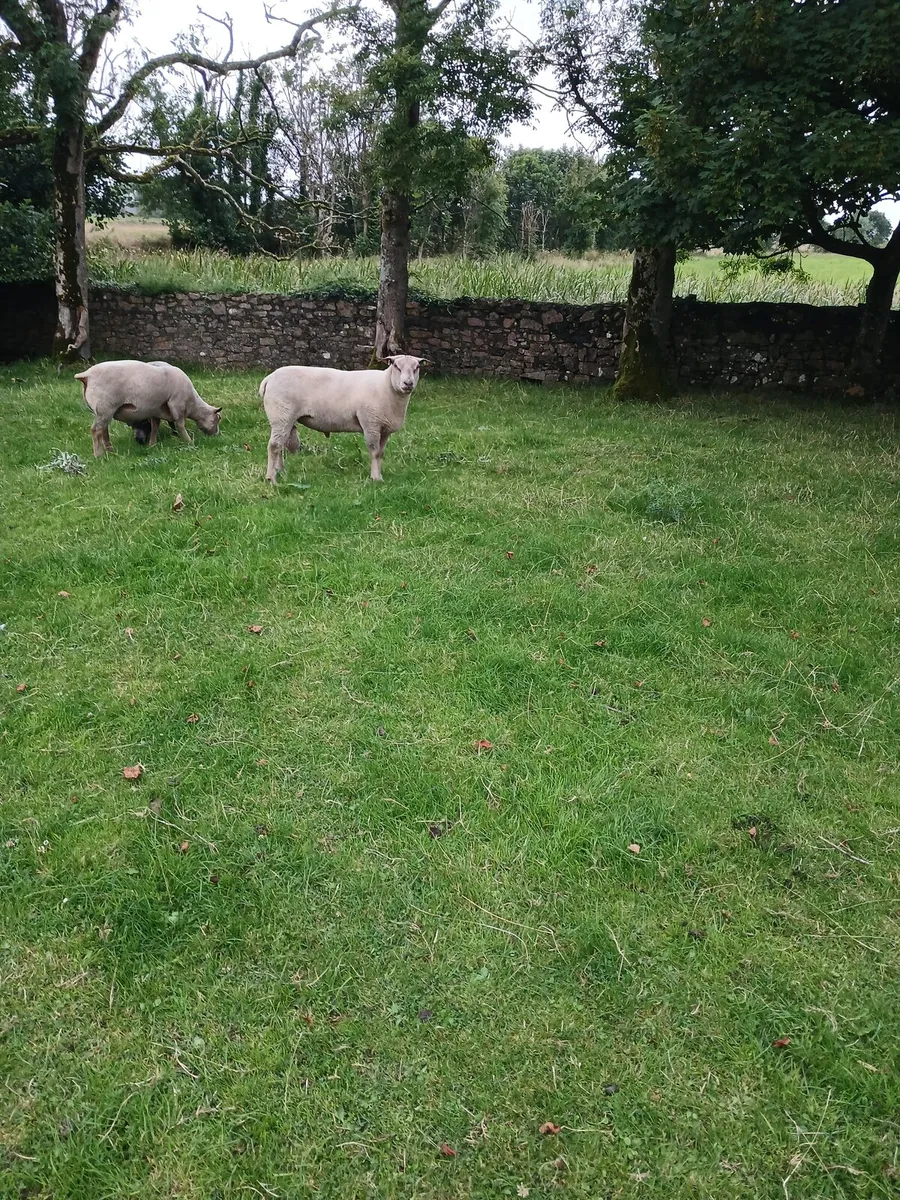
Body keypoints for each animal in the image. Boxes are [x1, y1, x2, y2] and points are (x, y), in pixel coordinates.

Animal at [74, 360, 222, 457]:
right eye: (217, 419)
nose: (217, 435)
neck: (192, 404)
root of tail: (86, 376)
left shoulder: (156, 409)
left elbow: (155, 426)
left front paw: (152, 444)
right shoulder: (177, 404)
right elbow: (180, 424)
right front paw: (189, 442)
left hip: (103, 411)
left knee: (104, 430)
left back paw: (111, 451)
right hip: (105, 408)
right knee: (96, 430)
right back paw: (98, 455)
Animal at [259, 355, 427, 484]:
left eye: (417, 367)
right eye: (396, 366)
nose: (408, 383)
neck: (386, 386)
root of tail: (269, 378)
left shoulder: (384, 429)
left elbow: (380, 453)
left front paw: (379, 476)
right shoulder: (370, 423)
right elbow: (374, 452)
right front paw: (375, 478)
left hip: (284, 420)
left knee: (280, 445)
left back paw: (281, 472)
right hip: (281, 416)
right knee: (274, 446)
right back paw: (271, 478)